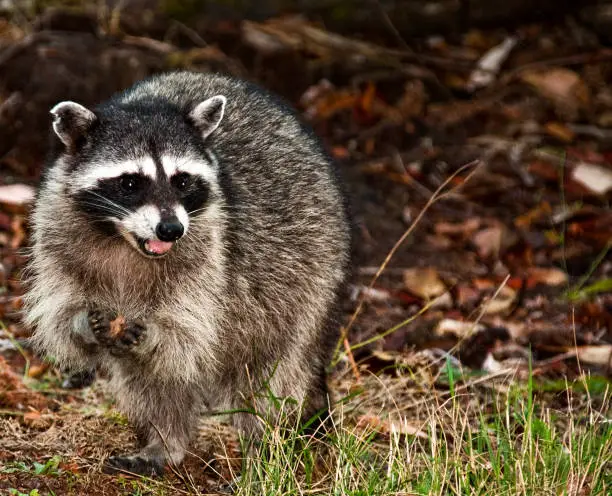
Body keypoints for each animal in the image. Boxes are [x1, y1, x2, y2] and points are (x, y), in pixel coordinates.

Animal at [23, 70, 352, 476]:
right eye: (130, 182)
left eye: (182, 180)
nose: (171, 229)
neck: (124, 241)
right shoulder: (56, 230)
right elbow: (61, 316)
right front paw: (83, 322)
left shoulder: (211, 252)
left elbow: (188, 330)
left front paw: (155, 332)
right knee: (152, 383)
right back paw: (165, 441)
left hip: (311, 271)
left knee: (272, 372)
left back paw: (264, 452)